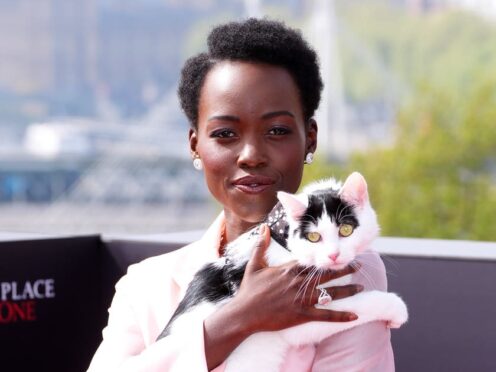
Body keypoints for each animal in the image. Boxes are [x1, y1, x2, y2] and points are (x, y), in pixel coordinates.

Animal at [158, 172, 406, 372]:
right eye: (314, 237)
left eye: (346, 230)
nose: (333, 255)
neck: (281, 238)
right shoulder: (299, 315)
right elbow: (359, 304)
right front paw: (396, 307)